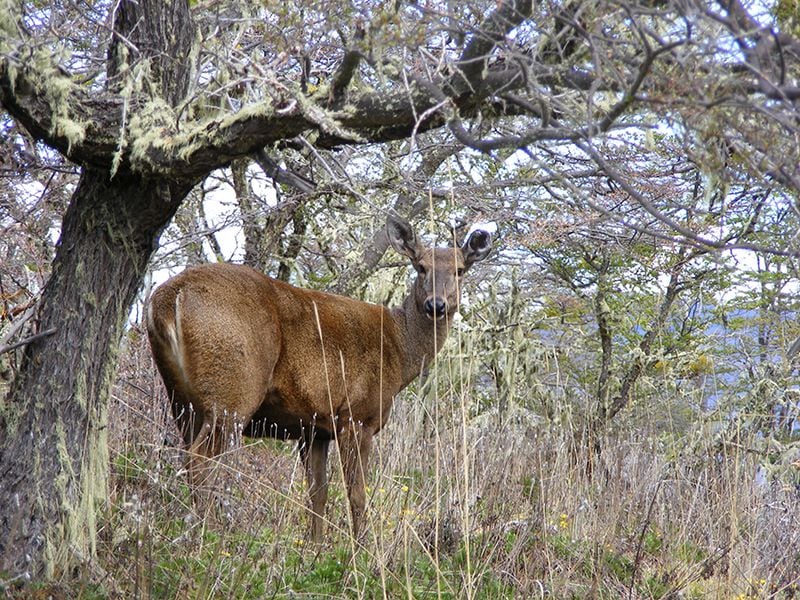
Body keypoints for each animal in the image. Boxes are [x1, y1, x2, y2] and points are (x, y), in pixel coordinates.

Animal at [147, 217, 490, 544]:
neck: (397, 346)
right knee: (200, 461)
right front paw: (361, 550)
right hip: (233, 392)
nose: (436, 305)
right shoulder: (356, 416)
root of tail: (166, 300)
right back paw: (205, 535)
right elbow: (357, 494)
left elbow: (318, 493)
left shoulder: (314, 428)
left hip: (181, 397)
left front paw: (315, 547)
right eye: (420, 266)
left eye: (459, 270)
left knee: (187, 454)